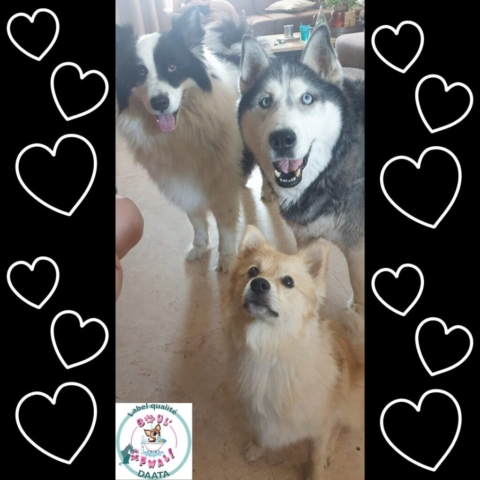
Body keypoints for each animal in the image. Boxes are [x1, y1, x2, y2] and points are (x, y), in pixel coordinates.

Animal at [116, 7, 255, 273]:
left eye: (172, 67)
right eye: (140, 72)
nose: (160, 102)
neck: (184, 131)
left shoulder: (221, 185)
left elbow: (225, 225)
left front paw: (227, 259)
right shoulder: (181, 183)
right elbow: (196, 220)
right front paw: (200, 247)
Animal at [228, 225, 364, 479]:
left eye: (288, 282)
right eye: (252, 271)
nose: (259, 284)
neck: (273, 346)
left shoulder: (321, 425)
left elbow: (315, 455)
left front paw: (314, 473)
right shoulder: (259, 412)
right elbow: (260, 432)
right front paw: (257, 448)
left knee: (339, 427)